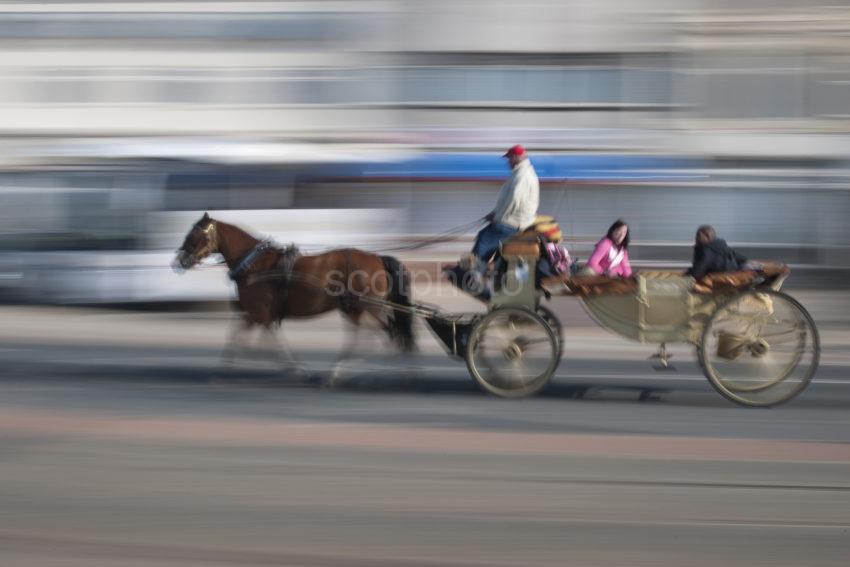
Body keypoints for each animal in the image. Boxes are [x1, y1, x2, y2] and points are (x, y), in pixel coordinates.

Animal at [170, 213, 414, 382]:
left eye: (195, 236)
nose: (179, 262)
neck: (254, 265)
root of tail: (377, 258)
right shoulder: (257, 315)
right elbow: (240, 339)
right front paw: (223, 368)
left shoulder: (259, 313)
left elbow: (258, 343)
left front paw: (296, 370)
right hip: (356, 308)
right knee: (377, 332)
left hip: (362, 306)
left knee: (383, 331)